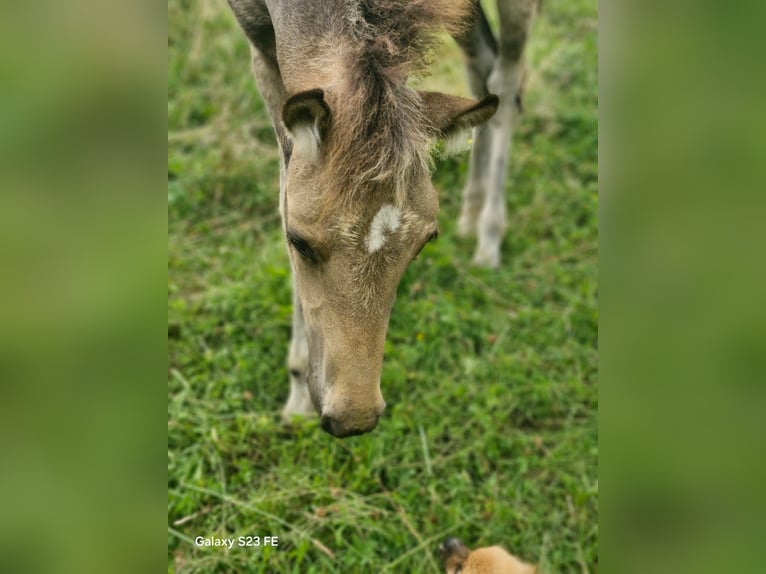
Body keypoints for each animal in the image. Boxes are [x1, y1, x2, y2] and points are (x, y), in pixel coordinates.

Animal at [226, 0, 535, 437]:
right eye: (298, 240)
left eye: (425, 241)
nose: (353, 416)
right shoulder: (259, 40)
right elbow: (285, 188)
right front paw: (298, 396)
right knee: (483, 66)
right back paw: (471, 211)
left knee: (507, 82)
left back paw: (489, 234)